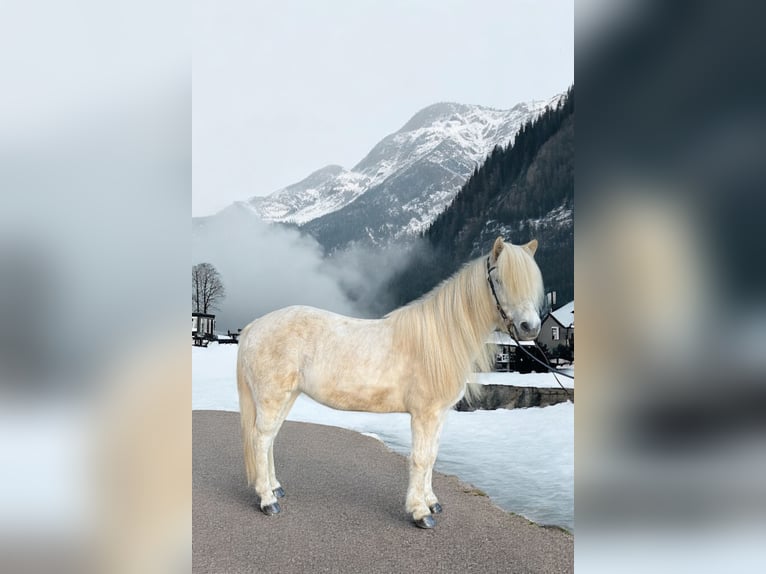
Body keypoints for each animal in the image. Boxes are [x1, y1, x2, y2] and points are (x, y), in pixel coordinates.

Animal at [237, 236, 544, 528]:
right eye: (500, 279)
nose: (530, 328)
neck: (440, 339)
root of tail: (254, 326)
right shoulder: (424, 415)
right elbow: (420, 459)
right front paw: (420, 513)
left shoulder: (439, 415)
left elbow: (432, 456)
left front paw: (432, 502)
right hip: (272, 397)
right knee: (261, 439)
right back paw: (267, 500)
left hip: (286, 397)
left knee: (270, 439)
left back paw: (275, 489)